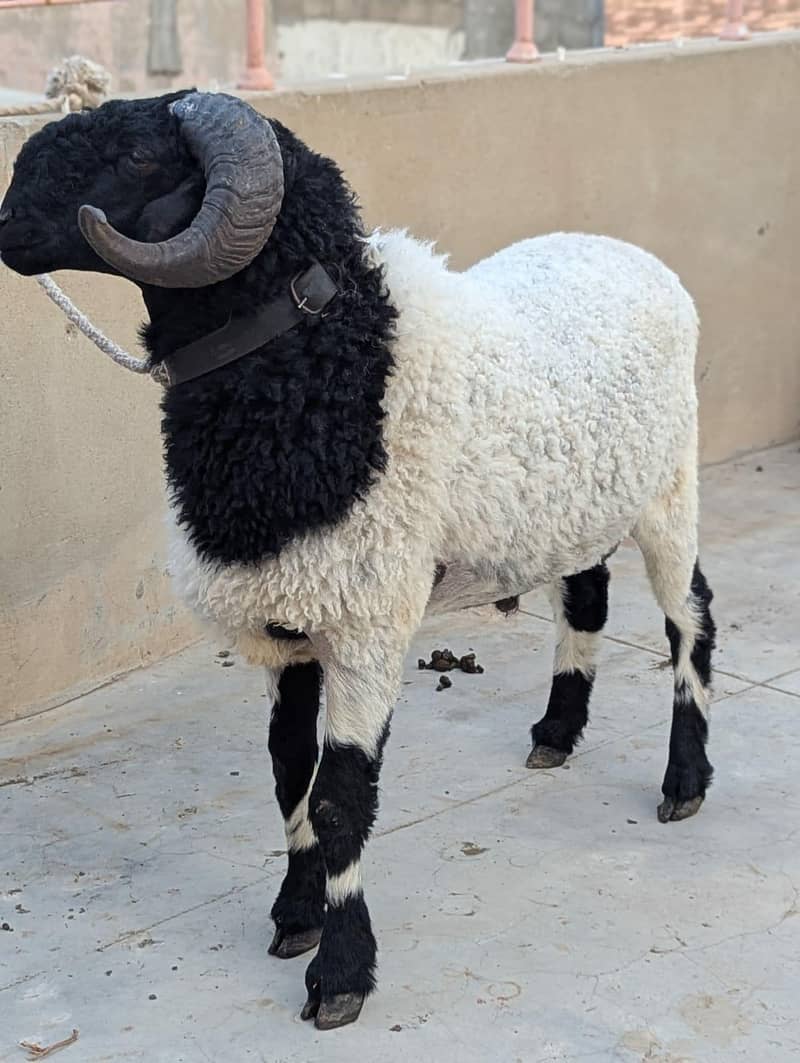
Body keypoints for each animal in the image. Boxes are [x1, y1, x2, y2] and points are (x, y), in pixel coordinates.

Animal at [0, 90, 716, 1031]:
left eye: (135, 158)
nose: (5, 219)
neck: (332, 365)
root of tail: (631, 255)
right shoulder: (291, 617)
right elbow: (288, 776)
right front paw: (295, 914)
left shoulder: (368, 622)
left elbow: (340, 797)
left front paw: (340, 972)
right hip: (574, 506)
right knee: (589, 594)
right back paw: (556, 734)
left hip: (670, 488)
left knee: (690, 616)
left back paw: (686, 778)